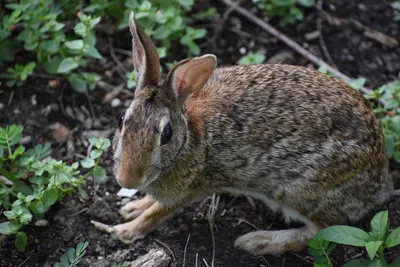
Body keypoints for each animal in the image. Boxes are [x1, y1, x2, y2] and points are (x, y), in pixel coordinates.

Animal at [106, 11, 394, 256]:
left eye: (166, 134)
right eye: (121, 120)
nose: (128, 179)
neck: (190, 140)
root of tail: (378, 182)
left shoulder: (188, 190)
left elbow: (156, 213)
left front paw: (124, 231)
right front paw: (130, 208)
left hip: (301, 191)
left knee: (321, 232)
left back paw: (258, 241)